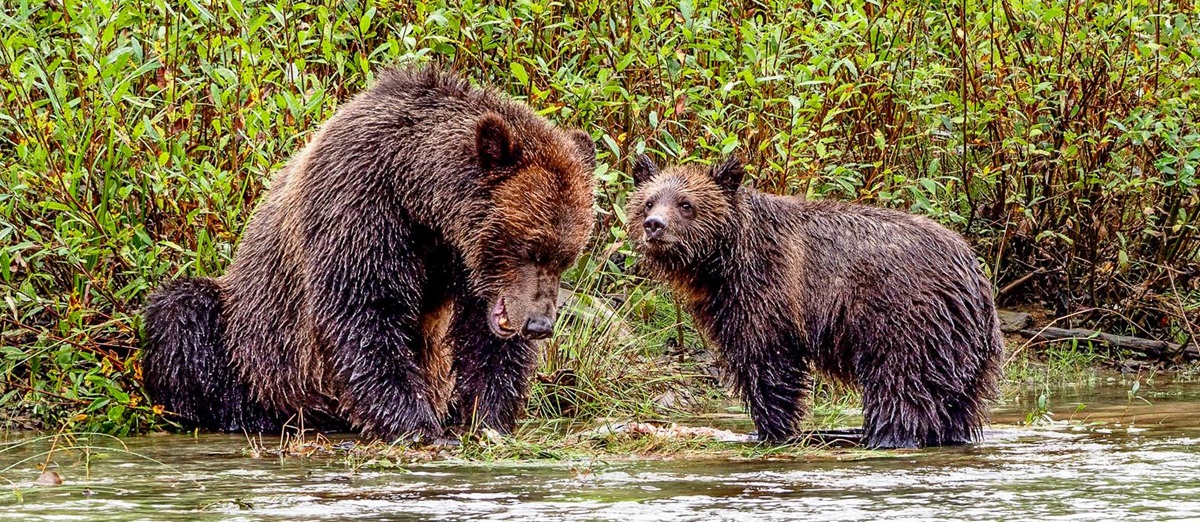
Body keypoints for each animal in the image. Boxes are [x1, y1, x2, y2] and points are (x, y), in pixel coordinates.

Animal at [141, 66, 597, 442]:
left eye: (567, 256)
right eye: (530, 248)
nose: (539, 324)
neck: (419, 197)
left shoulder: (460, 262)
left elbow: (485, 341)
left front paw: (487, 420)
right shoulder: (361, 205)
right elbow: (363, 311)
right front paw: (418, 426)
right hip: (253, 345)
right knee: (182, 313)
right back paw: (246, 416)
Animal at [625, 154, 1004, 449]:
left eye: (686, 204)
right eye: (649, 201)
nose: (654, 225)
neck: (721, 263)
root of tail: (974, 273)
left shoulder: (767, 291)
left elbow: (767, 363)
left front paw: (770, 430)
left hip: (906, 319)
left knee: (900, 387)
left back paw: (887, 436)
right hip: (961, 346)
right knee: (957, 404)